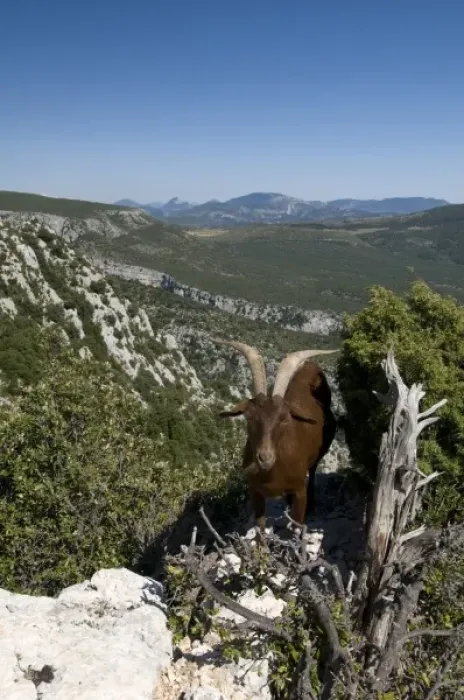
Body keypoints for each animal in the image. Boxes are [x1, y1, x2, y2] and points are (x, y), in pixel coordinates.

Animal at [214, 339, 338, 531]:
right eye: (249, 417)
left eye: (285, 418)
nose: (265, 458)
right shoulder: (255, 491)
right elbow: (260, 529)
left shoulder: (300, 491)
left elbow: (297, 526)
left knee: (313, 472)